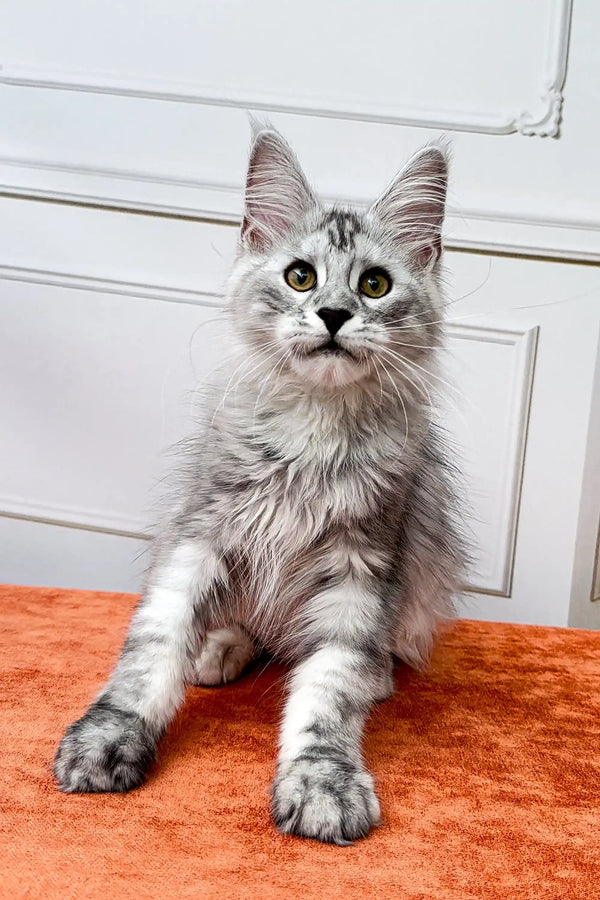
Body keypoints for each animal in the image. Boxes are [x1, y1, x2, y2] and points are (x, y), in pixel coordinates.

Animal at [54, 126, 466, 844]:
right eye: (301, 276)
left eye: (375, 284)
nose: (333, 314)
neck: (313, 434)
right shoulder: (200, 535)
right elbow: (150, 652)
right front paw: (109, 738)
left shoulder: (361, 567)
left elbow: (328, 691)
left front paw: (322, 782)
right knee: (243, 624)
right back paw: (219, 648)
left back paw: (376, 675)